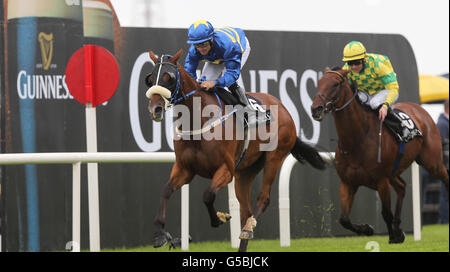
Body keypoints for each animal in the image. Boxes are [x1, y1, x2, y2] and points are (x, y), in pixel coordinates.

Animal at [146, 49, 326, 251]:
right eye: (150, 78)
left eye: (169, 77)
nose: (155, 109)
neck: (199, 119)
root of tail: (284, 109)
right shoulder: (185, 169)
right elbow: (165, 190)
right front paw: (160, 235)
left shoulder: (226, 169)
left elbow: (208, 195)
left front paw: (218, 219)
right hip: (245, 171)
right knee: (246, 210)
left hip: (274, 157)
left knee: (263, 199)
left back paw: (248, 228)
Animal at [312, 67, 448, 243]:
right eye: (320, 82)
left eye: (335, 84)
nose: (315, 108)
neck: (357, 140)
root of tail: (419, 109)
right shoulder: (347, 183)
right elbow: (344, 219)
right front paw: (369, 229)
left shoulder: (381, 181)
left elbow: (385, 213)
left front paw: (394, 236)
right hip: (394, 171)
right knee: (402, 187)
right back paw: (397, 225)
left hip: (432, 162)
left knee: (445, 178)